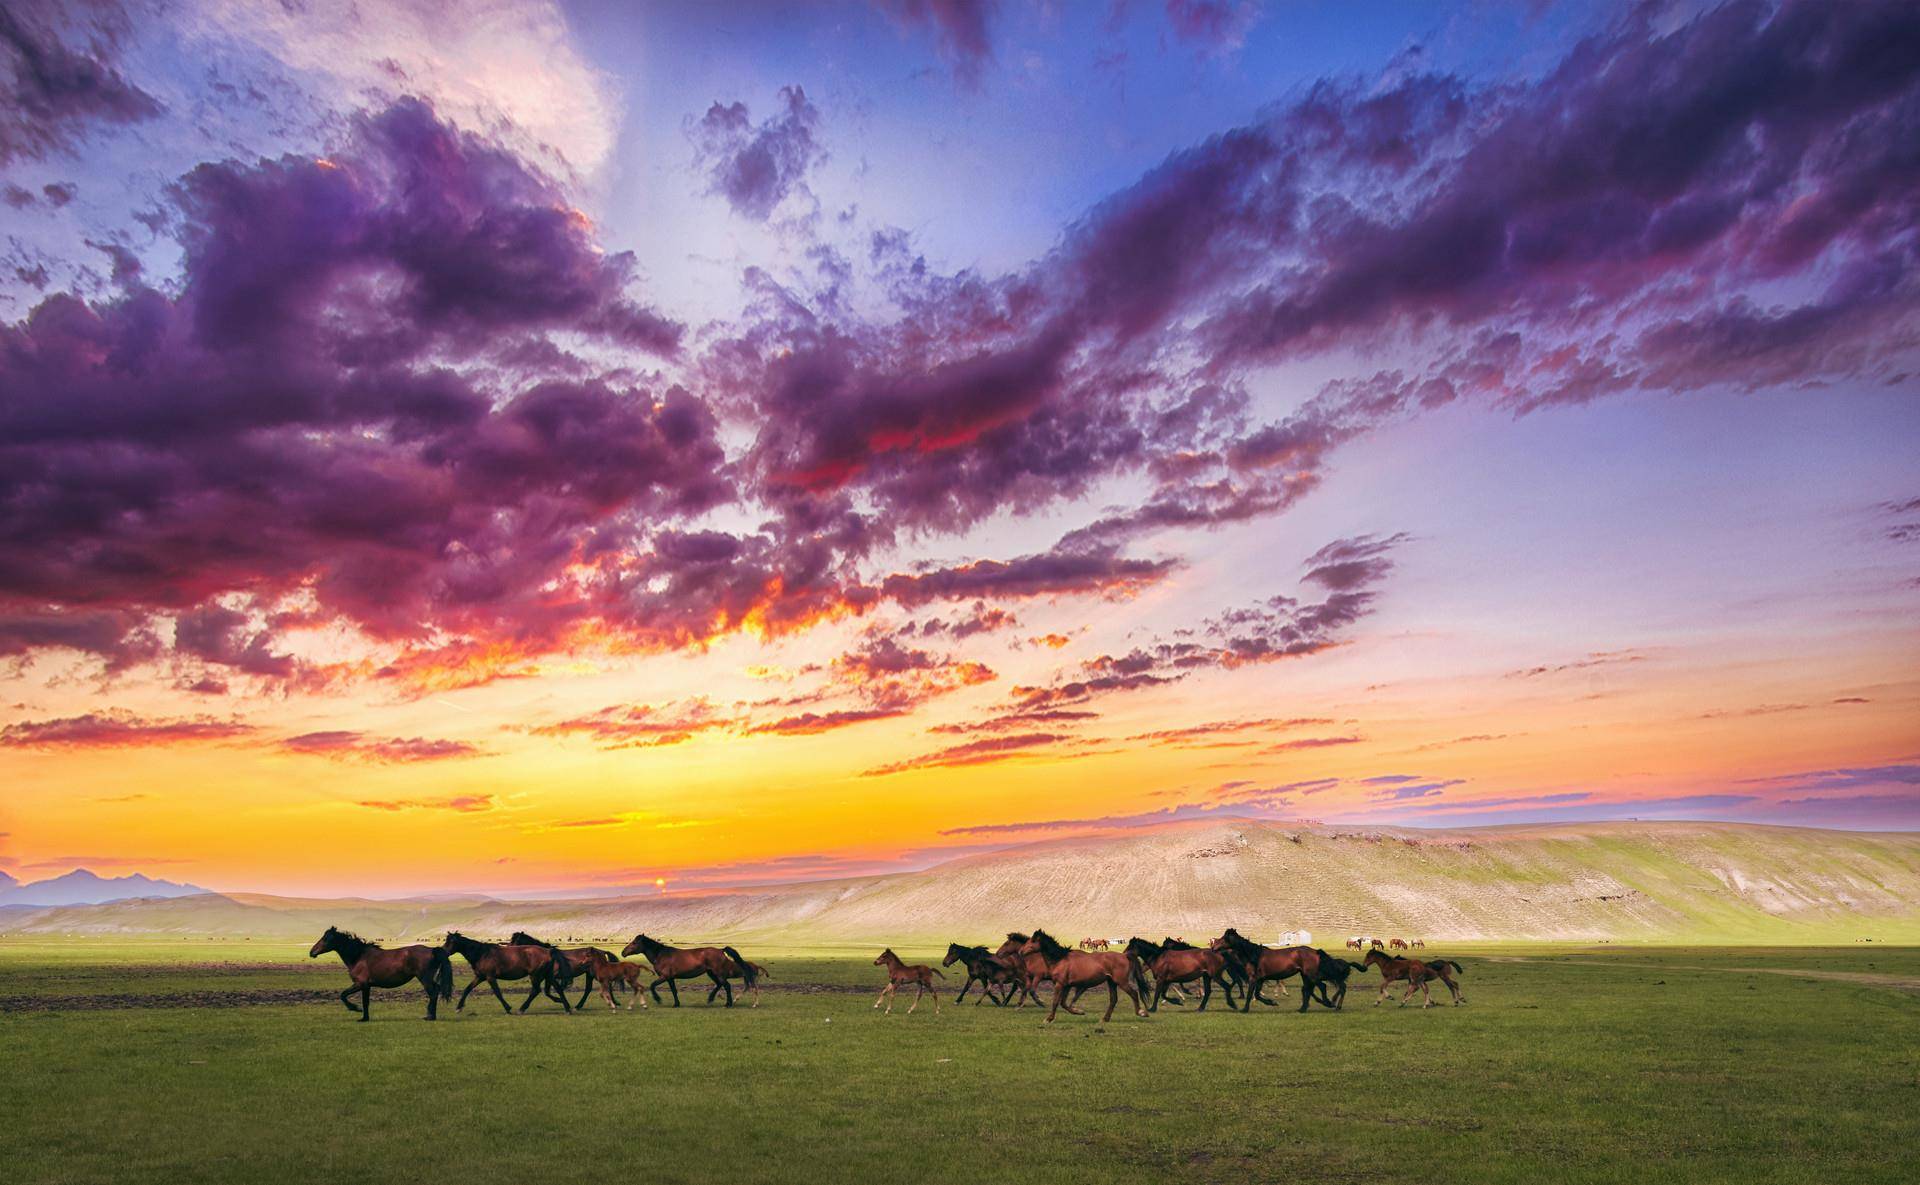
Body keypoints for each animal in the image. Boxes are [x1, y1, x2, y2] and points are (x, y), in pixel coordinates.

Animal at [311, 925, 453, 1014]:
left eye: (326, 938)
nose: (311, 952)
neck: (358, 955)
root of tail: (432, 950)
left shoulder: (360, 984)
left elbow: (343, 995)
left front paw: (355, 1008)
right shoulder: (366, 986)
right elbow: (361, 1001)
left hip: (424, 978)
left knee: (433, 993)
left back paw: (429, 1016)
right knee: (437, 990)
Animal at [622, 933, 756, 1006]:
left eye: (634, 942)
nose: (623, 952)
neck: (661, 955)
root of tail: (720, 950)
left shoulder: (664, 977)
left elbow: (652, 985)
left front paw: (658, 999)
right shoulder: (670, 978)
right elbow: (674, 991)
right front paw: (676, 1004)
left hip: (718, 973)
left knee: (726, 986)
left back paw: (728, 1004)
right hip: (711, 973)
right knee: (719, 985)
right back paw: (710, 999)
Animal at [1021, 925, 1152, 1014]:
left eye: (1033, 940)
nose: (1021, 951)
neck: (1060, 958)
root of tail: (1125, 955)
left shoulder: (1061, 984)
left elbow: (1059, 1001)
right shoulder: (1068, 985)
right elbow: (1065, 1002)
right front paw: (1077, 1011)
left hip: (1121, 982)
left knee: (1133, 993)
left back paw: (1141, 1012)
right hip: (1111, 982)